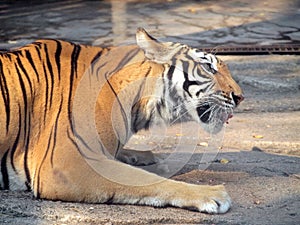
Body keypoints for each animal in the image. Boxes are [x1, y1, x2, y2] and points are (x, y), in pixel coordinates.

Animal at [0, 27, 243, 214]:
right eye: (208, 67)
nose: (240, 97)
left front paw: (144, 156)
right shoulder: (65, 165)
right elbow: (143, 179)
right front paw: (212, 194)